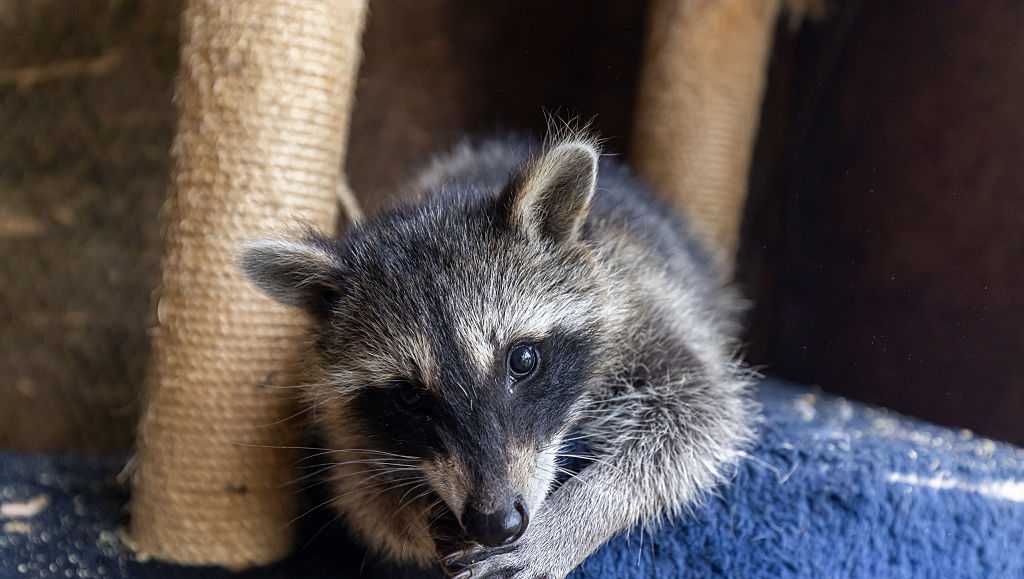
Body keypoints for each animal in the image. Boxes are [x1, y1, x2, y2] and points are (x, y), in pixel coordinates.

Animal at [241, 134, 755, 578]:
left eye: (522, 360)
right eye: (408, 397)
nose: (497, 523)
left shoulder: (643, 302)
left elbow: (695, 415)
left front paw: (576, 514)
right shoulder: (345, 418)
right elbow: (360, 492)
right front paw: (408, 516)